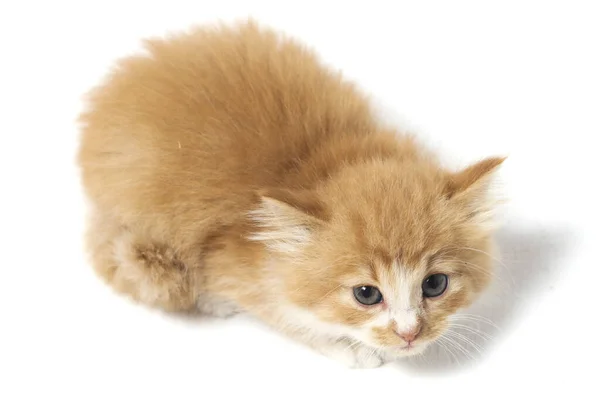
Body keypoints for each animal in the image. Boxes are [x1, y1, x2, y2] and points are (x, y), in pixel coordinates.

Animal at [77, 20, 504, 368]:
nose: (409, 333)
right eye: (366, 294)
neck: (315, 161)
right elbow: (283, 315)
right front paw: (348, 348)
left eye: (435, 284)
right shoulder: (231, 260)